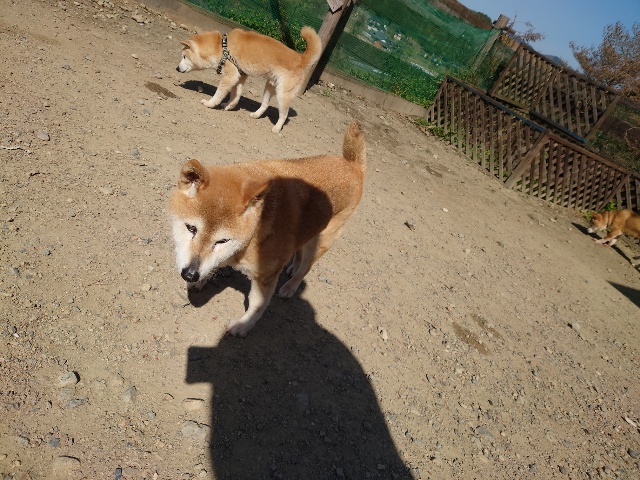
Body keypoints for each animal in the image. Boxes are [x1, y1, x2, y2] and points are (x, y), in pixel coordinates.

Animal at [169, 121, 366, 336]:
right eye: (191, 228)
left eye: (222, 240)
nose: (190, 274)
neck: (255, 232)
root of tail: (352, 166)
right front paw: (200, 280)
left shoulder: (265, 276)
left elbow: (257, 304)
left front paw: (243, 325)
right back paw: (292, 266)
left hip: (322, 240)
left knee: (306, 268)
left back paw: (290, 286)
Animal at [176, 26, 322, 133]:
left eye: (184, 56)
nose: (177, 68)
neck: (221, 47)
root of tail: (301, 59)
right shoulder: (240, 76)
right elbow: (235, 95)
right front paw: (229, 106)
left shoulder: (230, 77)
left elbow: (218, 94)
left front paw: (210, 103)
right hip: (269, 86)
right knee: (265, 104)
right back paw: (256, 115)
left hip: (282, 94)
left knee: (284, 115)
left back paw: (276, 128)